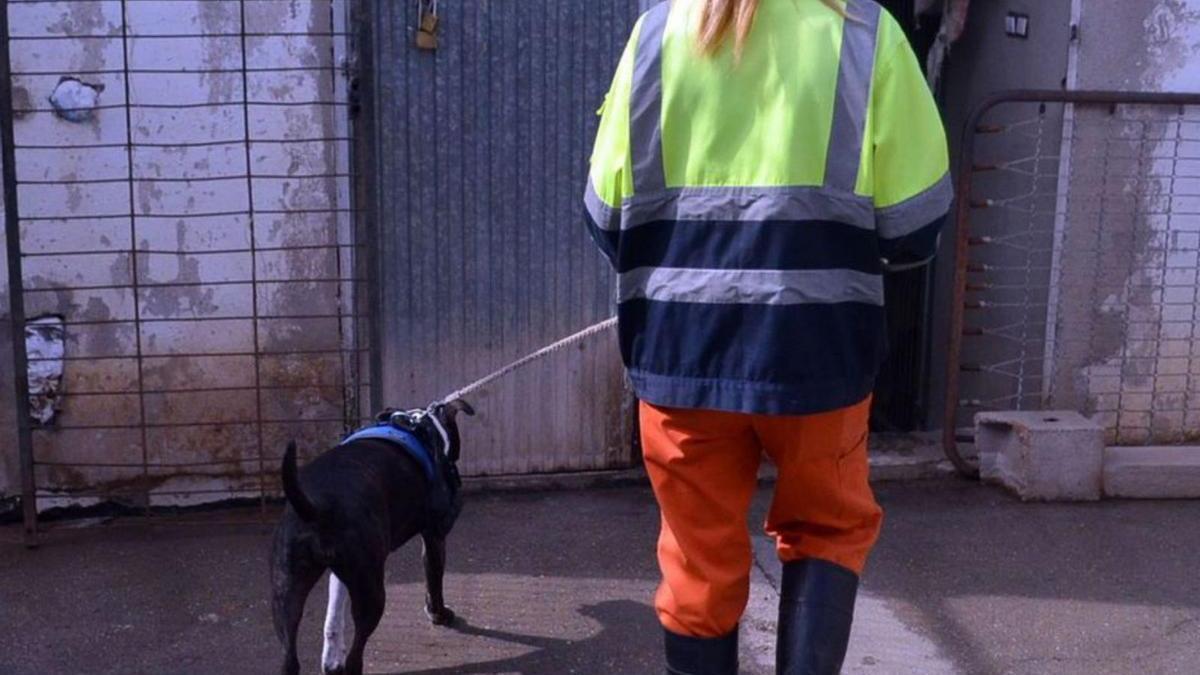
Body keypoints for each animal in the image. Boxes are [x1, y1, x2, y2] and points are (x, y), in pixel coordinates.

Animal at [271, 398, 472, 672]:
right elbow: (434, 580)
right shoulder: (434, 536)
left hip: (286, 590)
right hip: (371, 593)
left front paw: (331, 658)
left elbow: (334, 609)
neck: (424, 424)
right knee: (356, 655)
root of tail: (317, 506)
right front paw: (438, 614)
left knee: (289, 656)